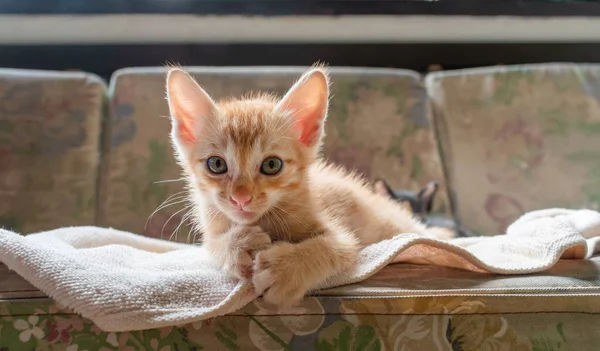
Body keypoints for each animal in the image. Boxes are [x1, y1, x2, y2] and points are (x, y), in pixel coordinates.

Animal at [164, 66, 454, 308]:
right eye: (216, 164)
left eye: (272, 165)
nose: (241, 198)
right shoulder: (211, 227)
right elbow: (212, 244)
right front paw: (238, 245)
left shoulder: (342, 235)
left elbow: (334, 247)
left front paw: (284, 270)